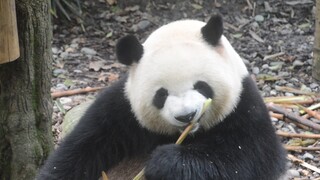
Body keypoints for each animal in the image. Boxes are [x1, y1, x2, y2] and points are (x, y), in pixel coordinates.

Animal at [38, 14, 288, 180]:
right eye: (161, 95)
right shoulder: (121, 110)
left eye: (202, 86)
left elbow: (245, 156)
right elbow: (80, 149)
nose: (186, 116)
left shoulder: (244, 107)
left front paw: (163, 162)